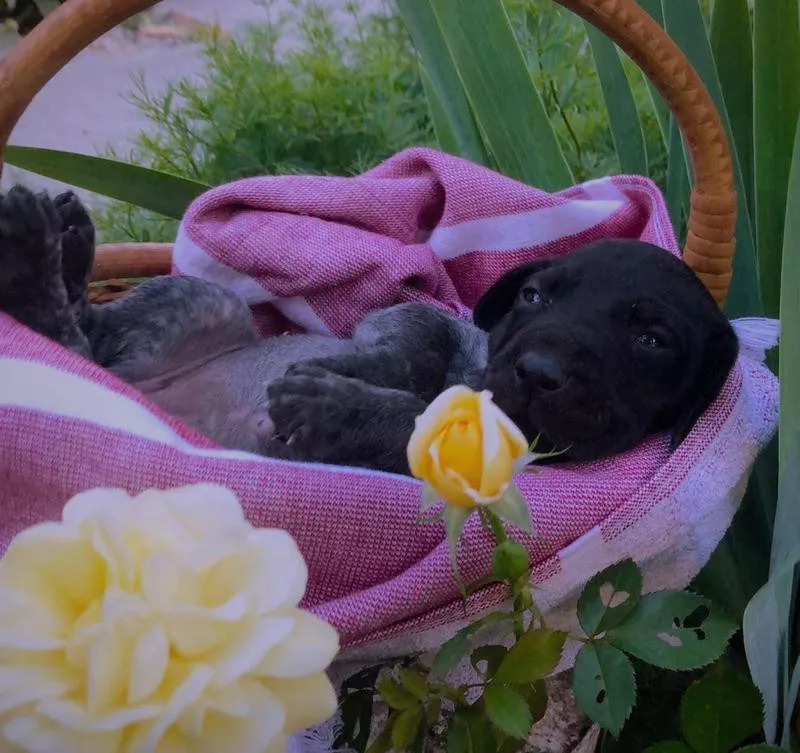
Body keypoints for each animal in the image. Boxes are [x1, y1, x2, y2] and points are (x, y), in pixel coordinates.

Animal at [0, 186, 736, 472]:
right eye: (532, 296)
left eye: (652, 340)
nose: (535, 372)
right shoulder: (410, 317)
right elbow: (413, 349)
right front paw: (354, 374)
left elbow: (411, 421)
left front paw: (333, 406)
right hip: (210, 301)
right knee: (87, 337)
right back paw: (56, 249)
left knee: (75, 349)